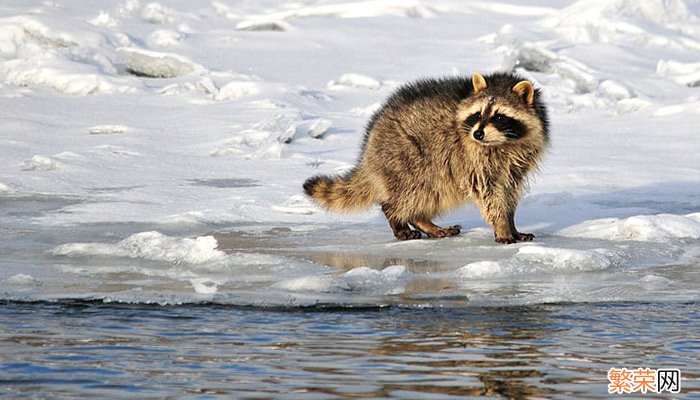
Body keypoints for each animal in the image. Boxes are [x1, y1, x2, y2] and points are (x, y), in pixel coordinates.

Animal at [304, 71, 548, 244]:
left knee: (431, 193)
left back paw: (422, 221)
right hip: (406, 157)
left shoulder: (515, 163)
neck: (503, 143)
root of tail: (370, 142)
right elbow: (489, 193)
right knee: (412, 193)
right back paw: (398, 218)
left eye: (499, 117)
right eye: (478, 114)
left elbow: (508, 192)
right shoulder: (473, 158)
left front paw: (512, 224)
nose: (478, 134)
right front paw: (502, 226)